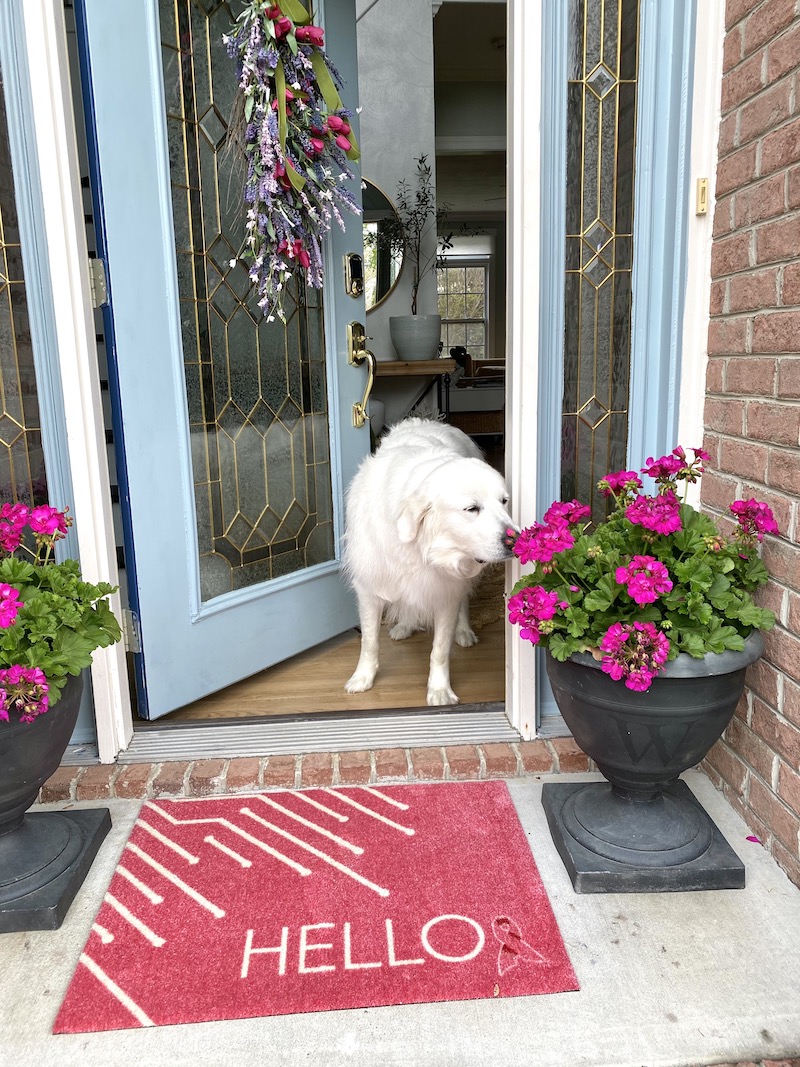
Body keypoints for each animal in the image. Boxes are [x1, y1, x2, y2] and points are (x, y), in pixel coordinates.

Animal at [343, 416, 516, 708]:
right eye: (472, 508)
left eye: (504, 502)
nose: (517, 539)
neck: (420, 547)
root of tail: (431, 420)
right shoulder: (369, 587)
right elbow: (369, 641)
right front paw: (363, 677)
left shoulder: (445, 592)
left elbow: (440, 650)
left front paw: (439, 690)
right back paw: (404, 626)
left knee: (463, 601)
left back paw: (464, 631)